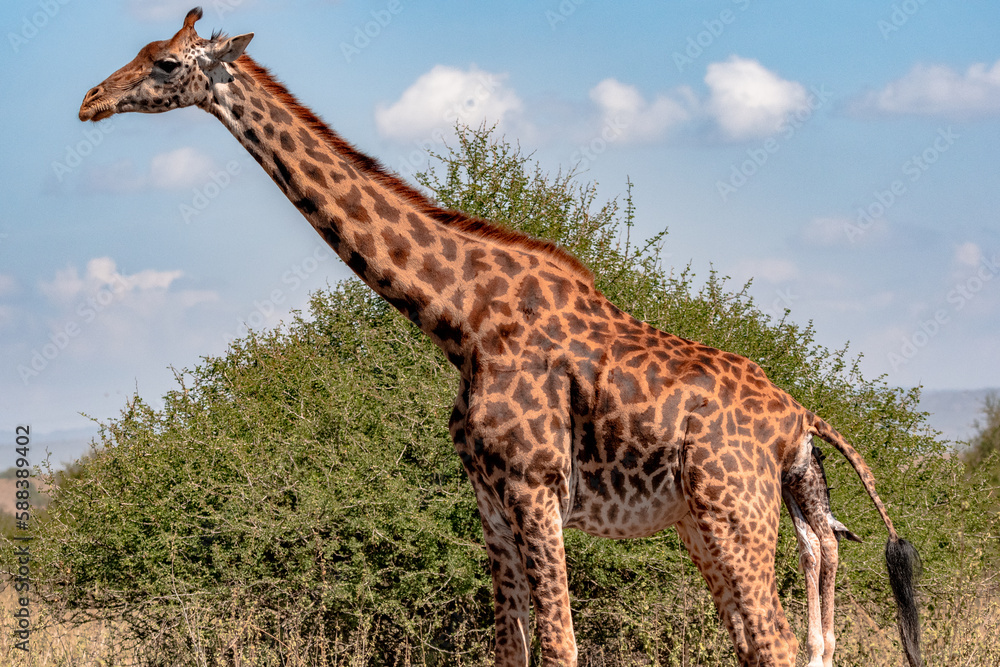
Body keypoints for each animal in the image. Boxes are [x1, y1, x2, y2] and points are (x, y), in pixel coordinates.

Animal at [78, 8, 923, 667]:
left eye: (165, 62)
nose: (90, 99)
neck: (459, 318)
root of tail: (801, 422)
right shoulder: (487, 493)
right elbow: (509, 646)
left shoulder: (535, 484)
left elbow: (560, 644)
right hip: (744, 522)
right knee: (799, 640)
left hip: (732, 511)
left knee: (771, 643)